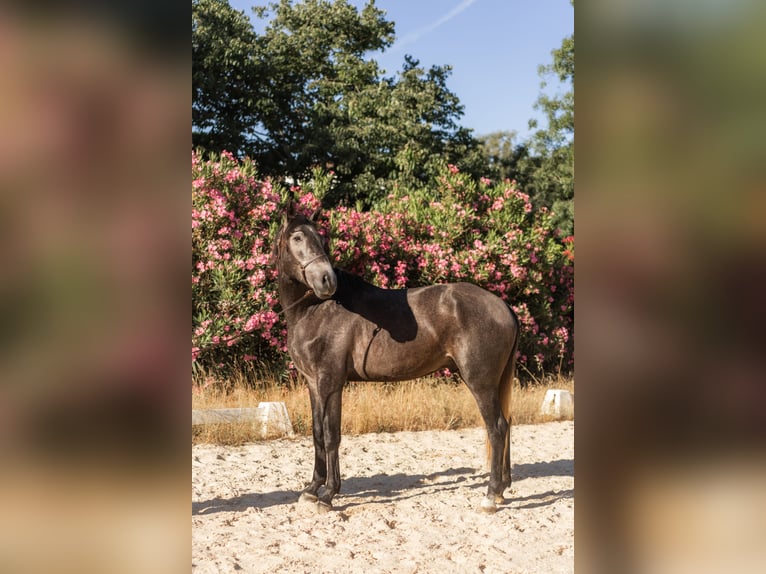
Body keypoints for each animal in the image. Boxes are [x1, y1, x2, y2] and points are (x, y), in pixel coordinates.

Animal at [272, 210, 520, 513]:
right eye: (297, 237)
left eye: (320, 238)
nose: (326, 280)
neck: (316, 311)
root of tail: (504, 307)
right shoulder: (313, 384)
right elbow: (317, 434)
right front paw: (311, 489)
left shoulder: (331, 383)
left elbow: (331, 435)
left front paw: (328, 494)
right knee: (506, 425)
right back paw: (502, 490)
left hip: (480, 383)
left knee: (496, 428)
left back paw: (490, 495)